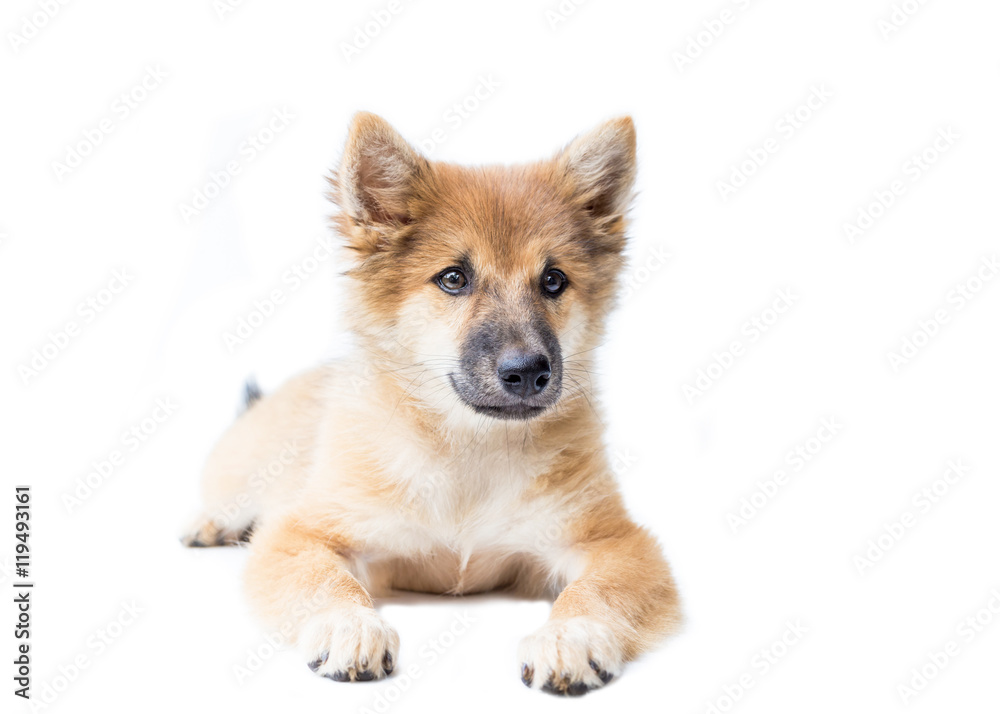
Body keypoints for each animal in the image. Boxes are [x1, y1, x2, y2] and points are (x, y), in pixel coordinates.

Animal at [182, 114, 680, 692]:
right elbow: (324, 580)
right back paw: (211, 524)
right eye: (453, 278)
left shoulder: (616, 543)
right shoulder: (301, 534)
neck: (469, 450)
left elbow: (597, 590)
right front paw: (350, 625)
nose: (528, 372)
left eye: (553, 280)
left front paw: (571, 635)